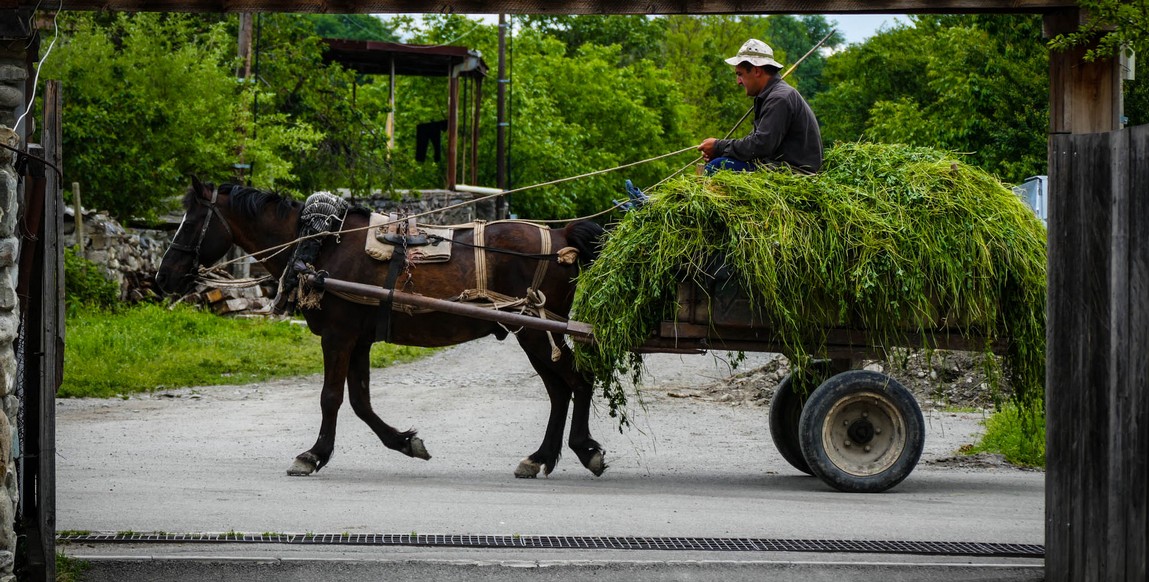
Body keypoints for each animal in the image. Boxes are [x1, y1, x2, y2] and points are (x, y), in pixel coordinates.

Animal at [160, 177, 611, 477]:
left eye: (189, 221)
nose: (164, 276)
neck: (322, 244)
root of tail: (562, 235)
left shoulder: (338, 336)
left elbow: (330, 398)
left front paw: (313, 454)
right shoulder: (359, 340)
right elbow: (360, 402)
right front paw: (405, 442)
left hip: (535, 331)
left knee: (578, 381)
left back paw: (584, 449)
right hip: (535, 333)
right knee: (561, 390)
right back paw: (540, 457)